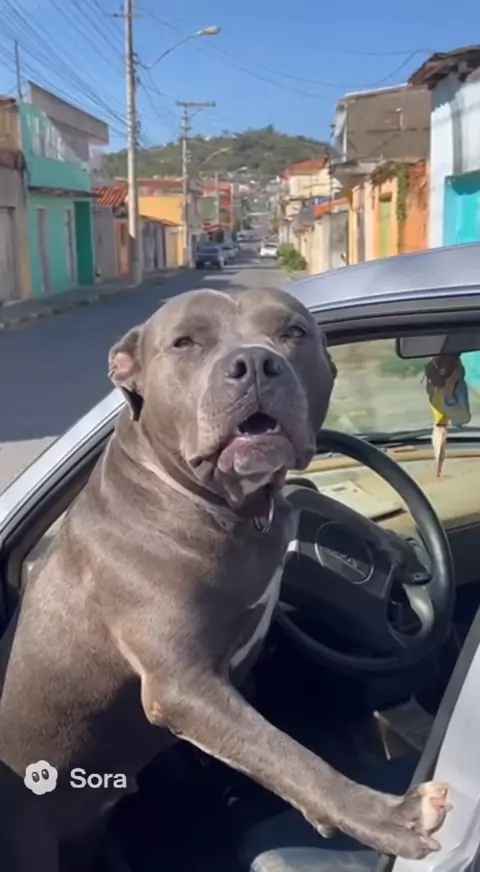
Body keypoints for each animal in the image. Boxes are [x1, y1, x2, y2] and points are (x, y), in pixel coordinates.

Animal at [0, 287, 449, 870]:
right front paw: (389, 816)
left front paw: (389, 544)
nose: (255, 363)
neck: (226, 508)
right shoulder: (184, 686)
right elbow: (289, 757)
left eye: (294, 332)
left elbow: (305, 499)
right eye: (185, 342)